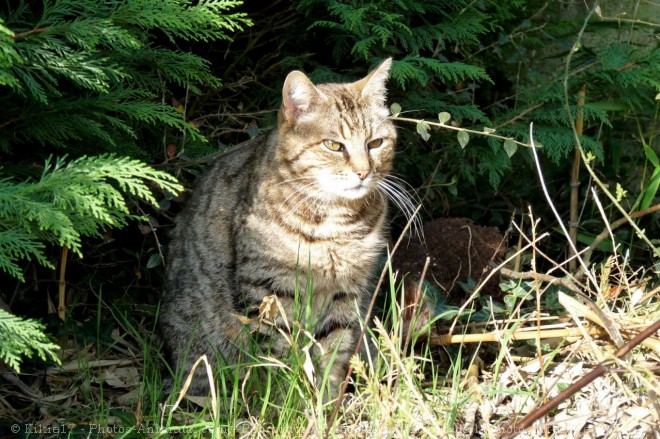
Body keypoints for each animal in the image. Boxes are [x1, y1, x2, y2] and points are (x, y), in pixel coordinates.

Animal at [160, 58, 408, 398]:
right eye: (334, 145)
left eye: (376, 143)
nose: (363, 172)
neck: (336, 221)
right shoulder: (269, 289)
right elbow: (280, 355)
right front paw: (288, 399)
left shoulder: (347, 293)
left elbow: (333, 352)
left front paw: (325, 402)